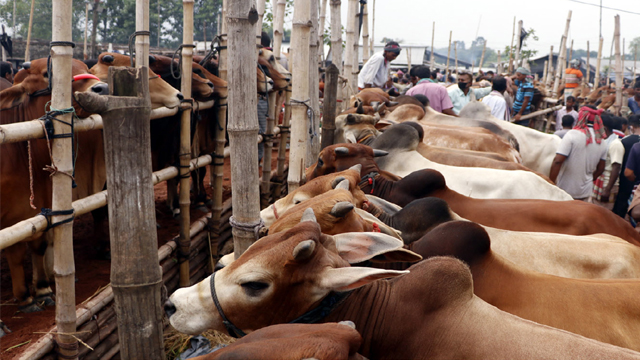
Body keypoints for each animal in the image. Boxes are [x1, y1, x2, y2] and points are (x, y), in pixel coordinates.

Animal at [0, 58, 109, 320]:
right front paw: (25, 298)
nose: (101, 88)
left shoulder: (36, 207)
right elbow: (15, 252)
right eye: (46, 73)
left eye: (87, 69)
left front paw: (41, 290)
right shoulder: (10, 216)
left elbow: (36, 244)